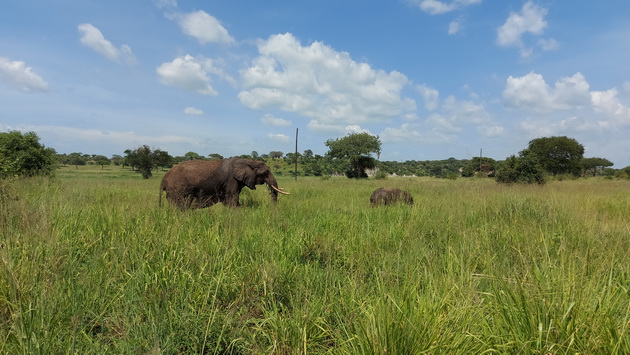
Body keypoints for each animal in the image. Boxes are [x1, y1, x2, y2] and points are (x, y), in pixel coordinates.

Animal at [160, 158, 288, 209]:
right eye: (266, 172)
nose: (274, 206)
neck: (248, 161)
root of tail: (163, 180)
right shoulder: (232, 179)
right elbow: (232, 199)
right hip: (176, 189)